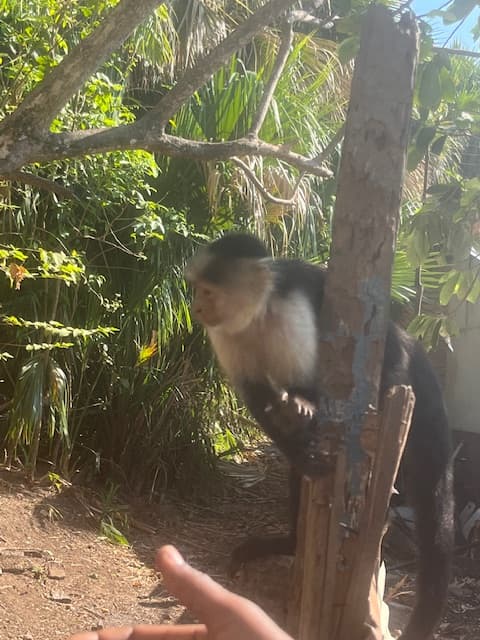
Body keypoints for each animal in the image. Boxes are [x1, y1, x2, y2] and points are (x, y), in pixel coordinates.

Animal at [185, 232, 454, 640]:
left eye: (208, 291)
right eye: (197, 289)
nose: (196, 308)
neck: (257, 315)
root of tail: (408, 339)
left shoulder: (289, 310)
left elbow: (313, 386)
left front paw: (302, 405)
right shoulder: (225, 334)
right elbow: (257, 398)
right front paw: (296, 443)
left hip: (398, 369)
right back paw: (290, 542)